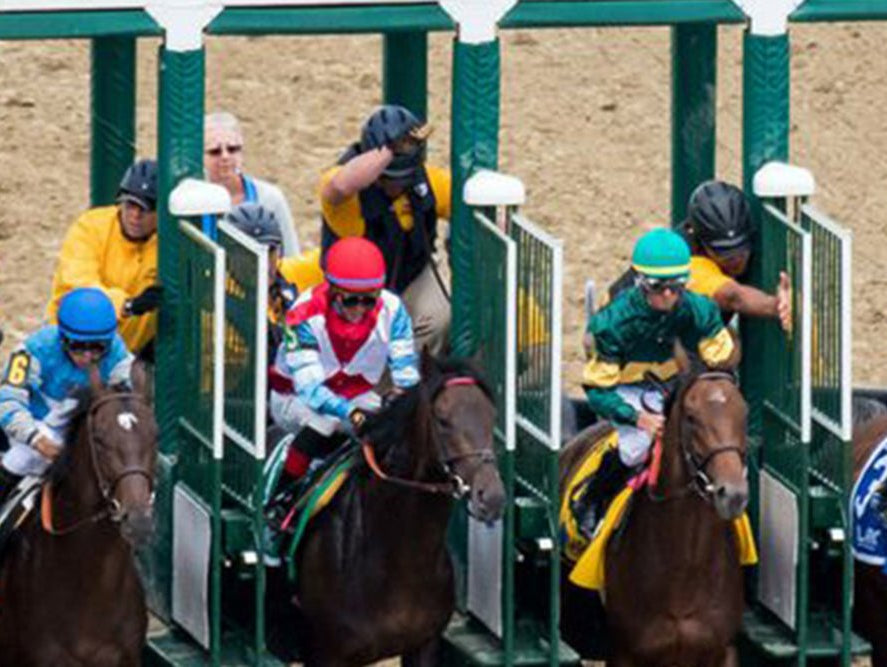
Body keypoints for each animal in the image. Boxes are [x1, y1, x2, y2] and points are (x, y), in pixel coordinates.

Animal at [560, 374, 748, 664]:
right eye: (691, 417)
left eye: (744, 413)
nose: (733, 494)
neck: (685, 572)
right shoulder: (624, 652)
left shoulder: (724, 649)